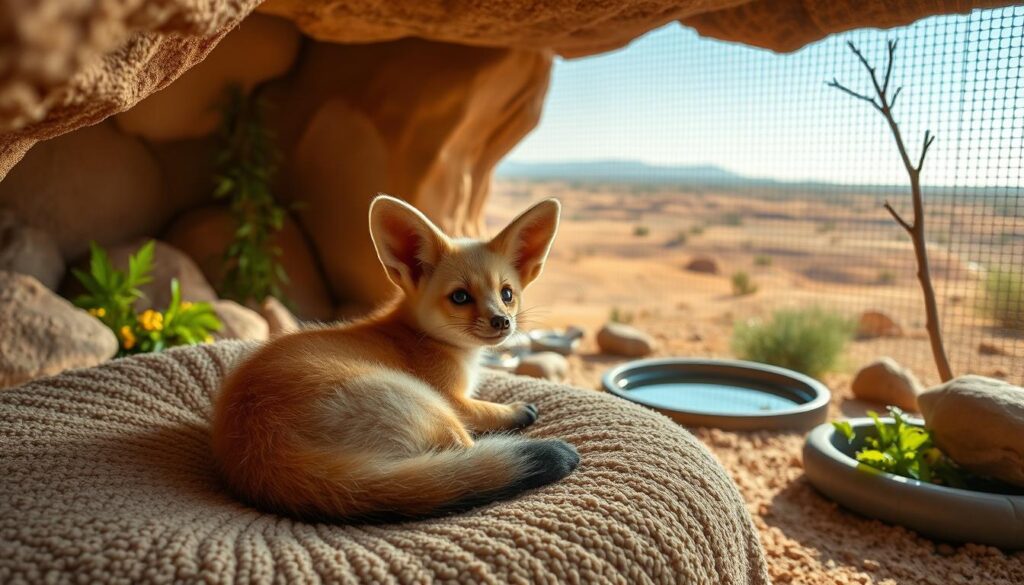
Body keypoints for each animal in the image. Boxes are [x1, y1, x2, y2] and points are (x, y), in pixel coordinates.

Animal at [211, 195, 579, 521]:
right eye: (460, 297)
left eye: (507, 294)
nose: (502, 322)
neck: (418, 335)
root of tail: (264, 452)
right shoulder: (453, 398)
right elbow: (485, 410)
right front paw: (515, 411)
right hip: (433, 408)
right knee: (468, 458)